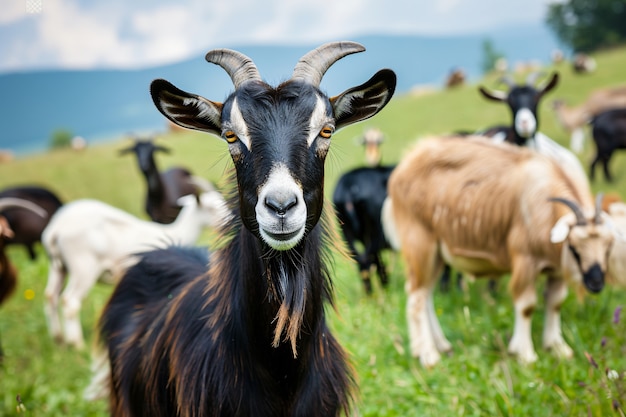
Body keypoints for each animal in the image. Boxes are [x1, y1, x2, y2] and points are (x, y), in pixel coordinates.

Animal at [40, 189, 229, 348]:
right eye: (211, 207)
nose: (229, 220)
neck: (176, 232)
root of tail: (55, 229)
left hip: (58, 267)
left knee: (50, 296)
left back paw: (58, 339)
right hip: (84, 267)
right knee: (70, 302)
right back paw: (77, 344)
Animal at [382, 135, 612, 366]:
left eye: (608, 247)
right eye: (574, 246)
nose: (596, 282)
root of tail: (405, 165)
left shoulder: (556, 269)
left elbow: (555, 302)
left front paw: (557, 348)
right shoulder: (525, 259)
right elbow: (526, 306)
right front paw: (525, 353)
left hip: (438, 254)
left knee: (426, 294)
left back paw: (441, 345)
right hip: (420, 244)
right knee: (416, 297)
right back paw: (428, 355)